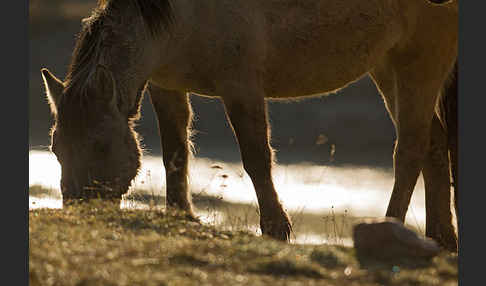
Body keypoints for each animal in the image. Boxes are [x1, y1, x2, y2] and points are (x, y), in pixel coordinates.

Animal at [39, 0, 458, 250]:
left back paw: (392, 228)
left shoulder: (241, 87)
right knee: (434, 146)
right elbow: (175, 153)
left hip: (420, 60)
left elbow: (256, 158)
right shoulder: (167, 87)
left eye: (100, 145)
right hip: (389, 64)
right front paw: (181, 215)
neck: (180, 19)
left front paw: (275, 228)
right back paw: (440, 239)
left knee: (411, 149)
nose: (79, 211)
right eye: (56, 149)